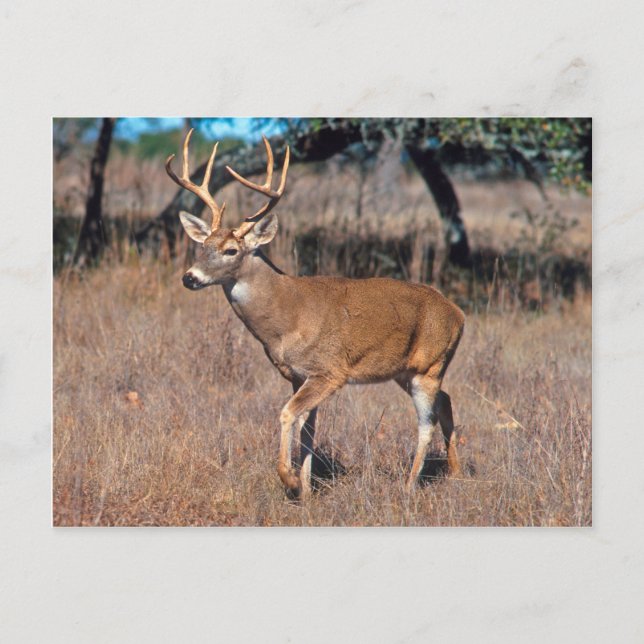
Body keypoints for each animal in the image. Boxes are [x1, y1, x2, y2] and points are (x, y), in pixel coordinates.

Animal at [165, 129, 465, 500]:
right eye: (202, 246)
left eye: (231, 250)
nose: (189, 277)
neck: (287, 317)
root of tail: (459, 314)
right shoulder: (298, 375)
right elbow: (308, 429)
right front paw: (307, 490)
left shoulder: (329, 371)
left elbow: (287, 414)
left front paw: (290, 480)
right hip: (407, 371)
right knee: (446, 401)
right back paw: (455, 474)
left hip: (429, 365)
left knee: (427, 421)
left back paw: (409, 486)